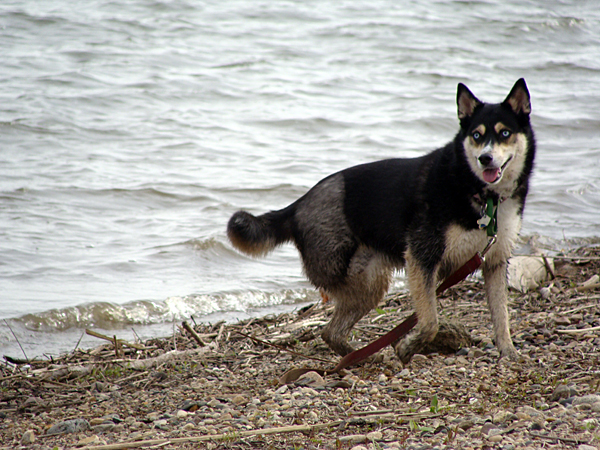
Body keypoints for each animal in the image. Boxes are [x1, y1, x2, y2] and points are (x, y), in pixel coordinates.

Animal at [229, 80, 536, 362]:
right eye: (476, 135)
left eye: (505, 133)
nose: (485, 159)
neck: (482, 193)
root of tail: (297, 207)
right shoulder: (422, 258)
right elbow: (430, 322)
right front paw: (408, 347)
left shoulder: (494, 260)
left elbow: (501, 317)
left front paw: (509, 351)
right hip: (347, 274)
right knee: (332, 325)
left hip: (370, 284)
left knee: (331, 331)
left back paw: (359, 356)